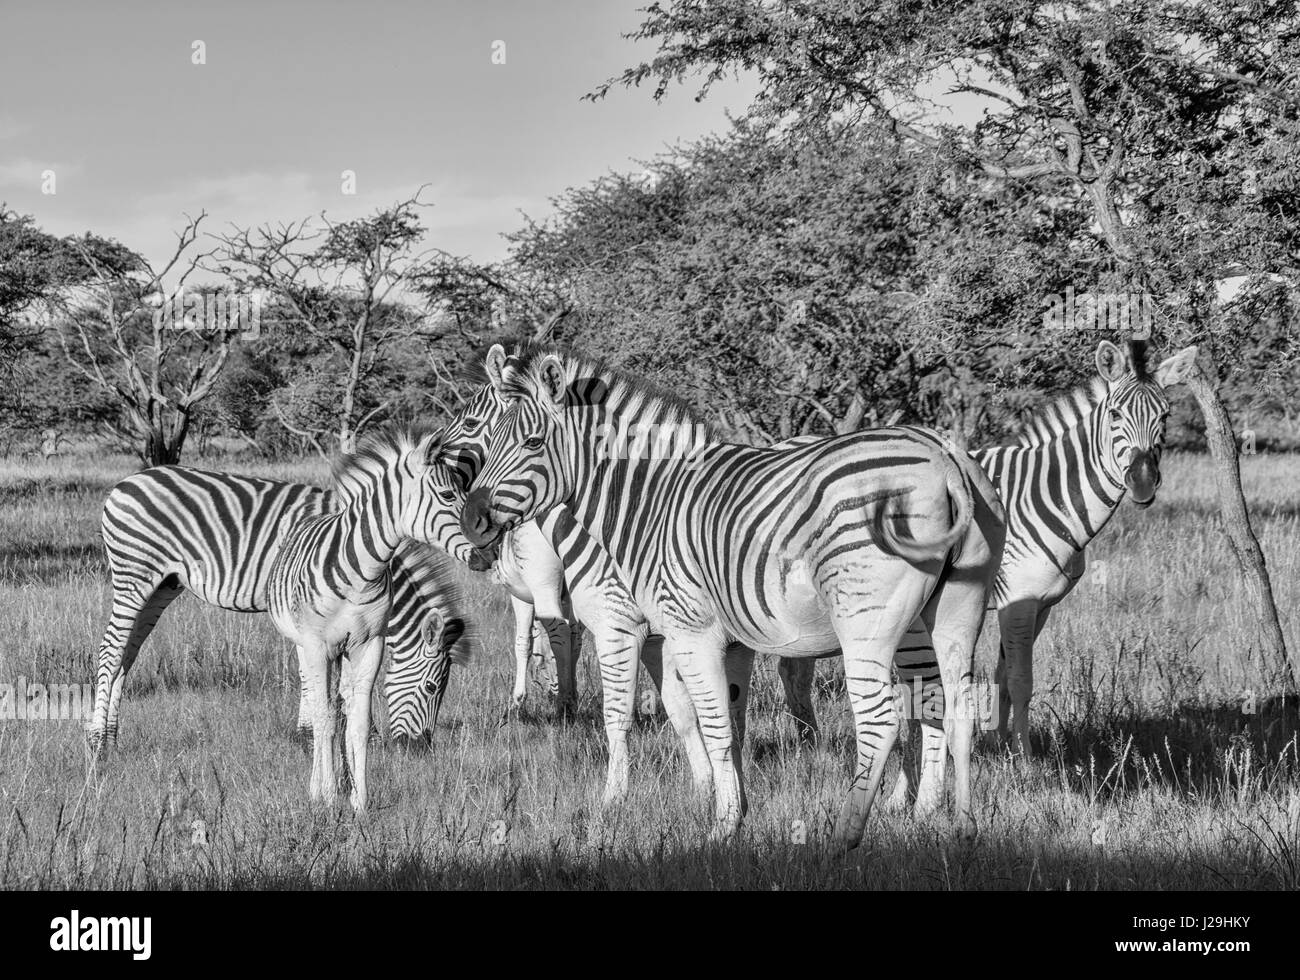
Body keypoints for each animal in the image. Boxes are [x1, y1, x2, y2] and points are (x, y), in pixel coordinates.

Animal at [89, 459, 485, 752]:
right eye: (432, 688)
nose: (420, 750)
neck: (355, 545)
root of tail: (127, 482)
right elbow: (321, 677)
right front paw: (327, 734)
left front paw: (311, 732)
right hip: (133, 575)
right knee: (110, 649)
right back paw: (96, 744)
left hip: (162, 585)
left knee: (126, 654)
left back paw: (112, 738)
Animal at [266, 426, 471, 809]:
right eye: (449, 494)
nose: (420, 749)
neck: (361, 571)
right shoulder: (317, 645)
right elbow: (324, 718)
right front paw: (328, 796)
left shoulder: (369, 644)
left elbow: (357, 723)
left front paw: (358, 799)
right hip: (305, 646)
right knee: (319, 704)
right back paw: (319, 786)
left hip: (344, 652)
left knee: (341, 703)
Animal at [461, 347, 1006, 845]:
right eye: (490, 438)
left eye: (532, 441)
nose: (471, 521)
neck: (652, 503)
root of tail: (946, 460)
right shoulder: (734, 639)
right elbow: (730, 721)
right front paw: (737, 809)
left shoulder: (681, 630)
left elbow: (709, 723)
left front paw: (718, 826)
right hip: (955, 608)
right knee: (954, 706)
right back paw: (959, 824)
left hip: (866, 622)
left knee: (882, 718)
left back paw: (846, 834)